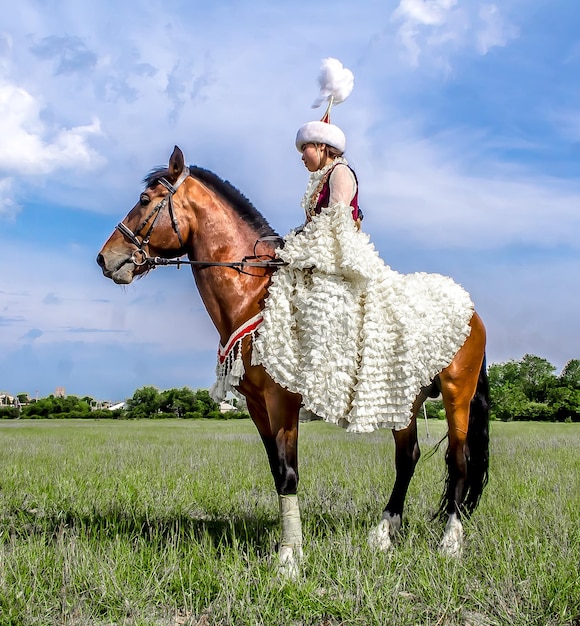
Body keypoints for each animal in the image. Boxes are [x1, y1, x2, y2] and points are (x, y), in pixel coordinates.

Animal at [97, 146, 488, 576]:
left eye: (144, 200)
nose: (105, 258)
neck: (255, 294)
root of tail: (469, 307)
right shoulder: (256, 404)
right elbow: (275, 469)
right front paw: (290, 549)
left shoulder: (282, 399)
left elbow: (288, 472)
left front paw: (288, 559)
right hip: (401, 398)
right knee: (408, 457)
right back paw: (384, 535)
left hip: (456, 394)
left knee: (459, 459)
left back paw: (450, 543)